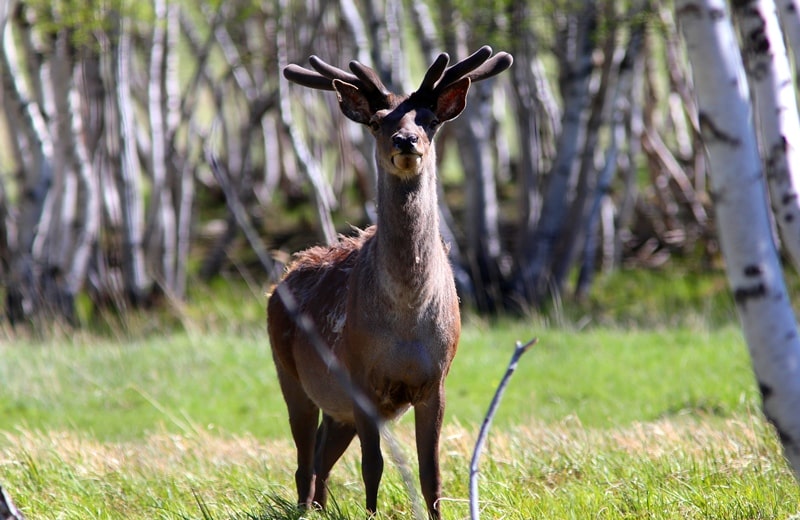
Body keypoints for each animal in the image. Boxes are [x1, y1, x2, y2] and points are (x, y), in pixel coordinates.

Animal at [268, 46, 512, 516]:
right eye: (380, 121)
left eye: (428, 119)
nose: (406, 141)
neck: (406, 321)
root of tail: (281, 280)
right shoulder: (360, 377)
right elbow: (373, 468)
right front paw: (371, 513)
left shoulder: (436, 380)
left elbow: (431, 473)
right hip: (290, 375)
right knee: (303, 464)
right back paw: (306, 509)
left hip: (337, 407)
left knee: (322, 459)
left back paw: (321, 509)